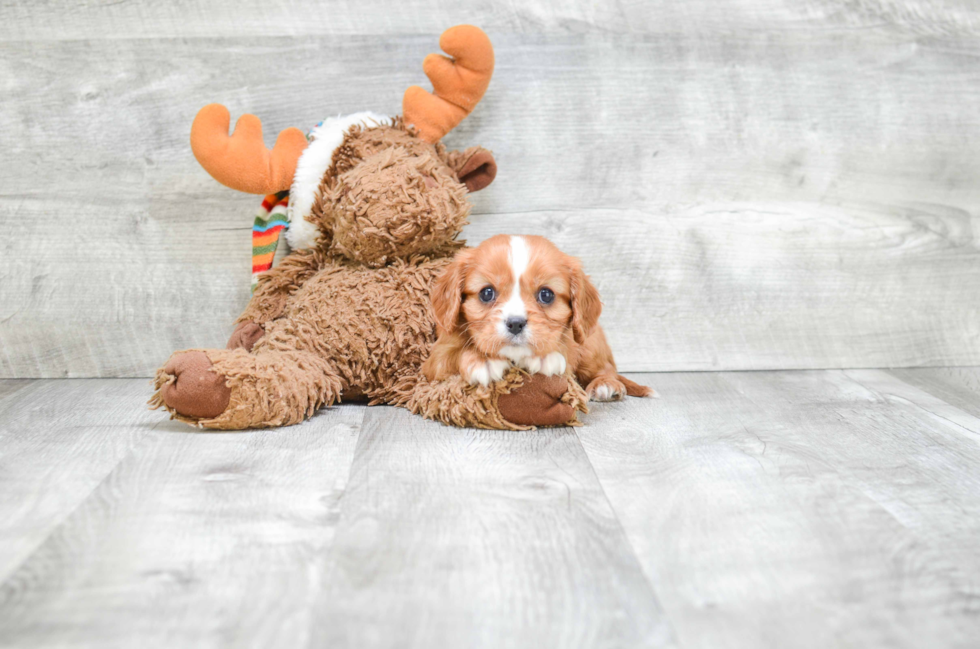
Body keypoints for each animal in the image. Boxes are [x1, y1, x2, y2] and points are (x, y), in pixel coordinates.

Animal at [424, 233, 660, 400]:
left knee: (607, 368)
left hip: (590, 344)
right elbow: (453, 354)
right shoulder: (434, 362)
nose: (516, 323)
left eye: (546, 295)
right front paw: (484, 359)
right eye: (486, 293)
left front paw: (544, 356)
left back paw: (606, 385)